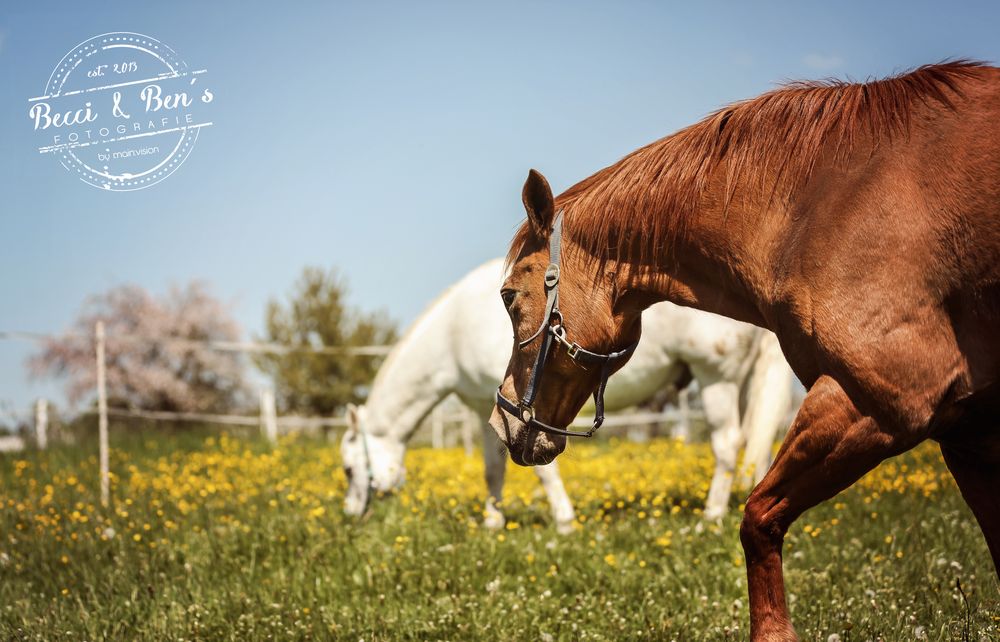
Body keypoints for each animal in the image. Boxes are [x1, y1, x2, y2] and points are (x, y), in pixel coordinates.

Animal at [340, 256, 792, 528]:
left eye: (347, 469)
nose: (349, 513)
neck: (455, 331)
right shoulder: (488, 412)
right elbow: (493, 470)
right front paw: (492, 522)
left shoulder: (527, 412)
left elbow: (542, 470)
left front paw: (563, 521)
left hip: (716, 377)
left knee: (727, 444)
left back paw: (710, 517)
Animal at [490, 61, 1000, 640]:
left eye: (509, 296)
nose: (501, 420)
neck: (819, 202)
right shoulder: (970, 433)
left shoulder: (874, 402)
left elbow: (758, 518)